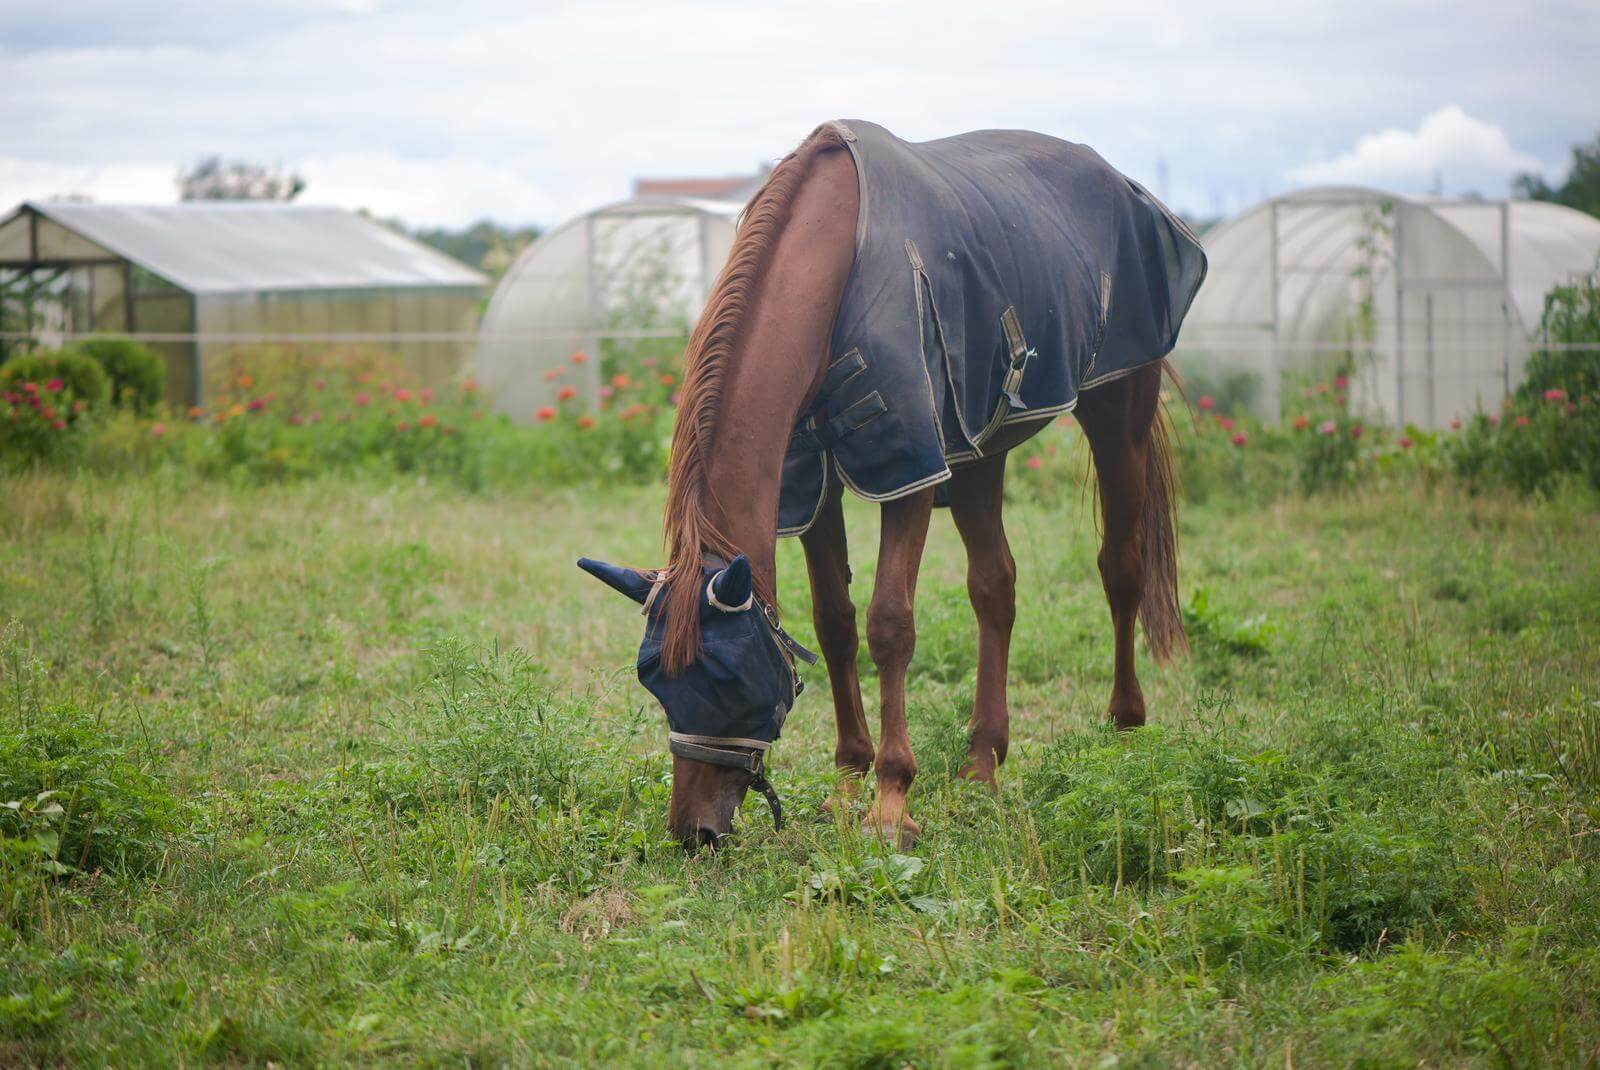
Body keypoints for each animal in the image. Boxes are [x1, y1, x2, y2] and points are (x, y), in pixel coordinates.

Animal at [582, 120, 1203, 844]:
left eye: (730, 681)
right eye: (654, 681)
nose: (694, 832)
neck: (829, 265)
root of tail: (1125, 185)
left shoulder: (908, 473)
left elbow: (889, 626)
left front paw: (891, 798)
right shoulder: (812, 488)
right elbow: (835, 623)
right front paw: (848, 780)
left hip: (1117, 412)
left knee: (1121, 568)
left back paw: (1125, 730)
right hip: (980, 449)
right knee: (995, 586)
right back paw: (982, 763)